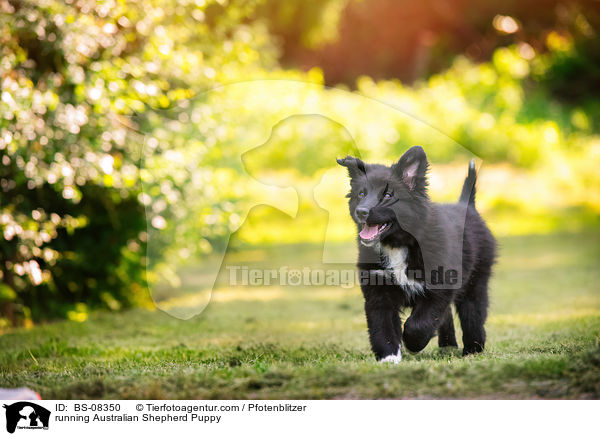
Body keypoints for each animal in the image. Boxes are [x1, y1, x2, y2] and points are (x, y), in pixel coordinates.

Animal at [338, 146, 496, 362]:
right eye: (361, 194)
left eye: (388, 195)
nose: (361, 211)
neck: (397, 245)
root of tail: (467, 206)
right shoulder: (377, 290)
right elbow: (382, 325)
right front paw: (389, 358)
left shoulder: (439, 288)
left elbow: (418, 324)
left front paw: (412, 344)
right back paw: (447, 345)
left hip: (476, 282)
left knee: (473, 315)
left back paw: (472, 349)